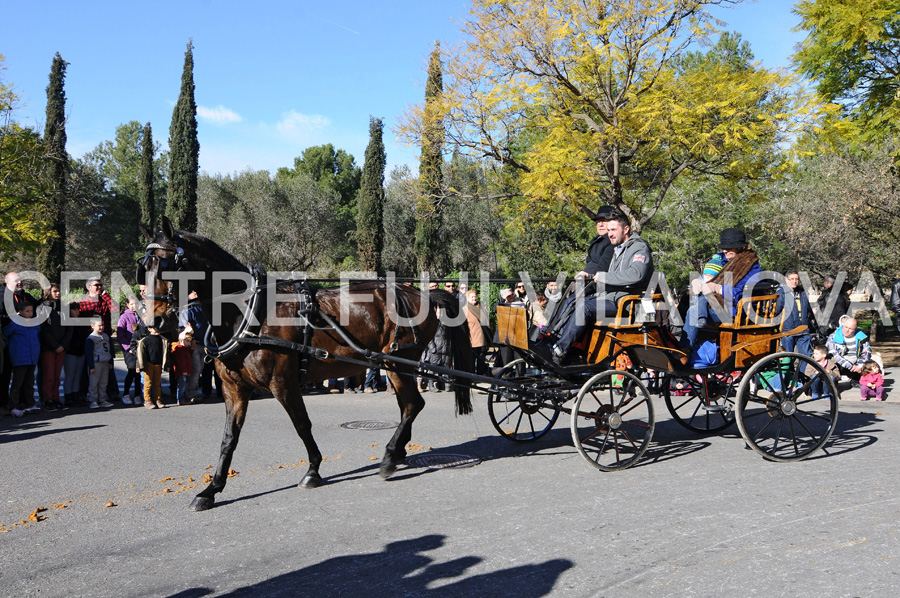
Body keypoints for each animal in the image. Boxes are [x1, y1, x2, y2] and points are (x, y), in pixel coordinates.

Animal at [140, 218, 474, 512]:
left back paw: (391, 456)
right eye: (145, 267)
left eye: (168, 265)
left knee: (413, 405)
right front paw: (211, 489)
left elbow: (302, 425)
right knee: (408, 406)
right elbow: (228, 439)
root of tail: (420, 292)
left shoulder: (283, 384)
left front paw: (313, 470)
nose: (155, 321)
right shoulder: (234, 389)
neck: (248, 312)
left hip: (399, 364)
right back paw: (399, 451)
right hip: (392, 365)